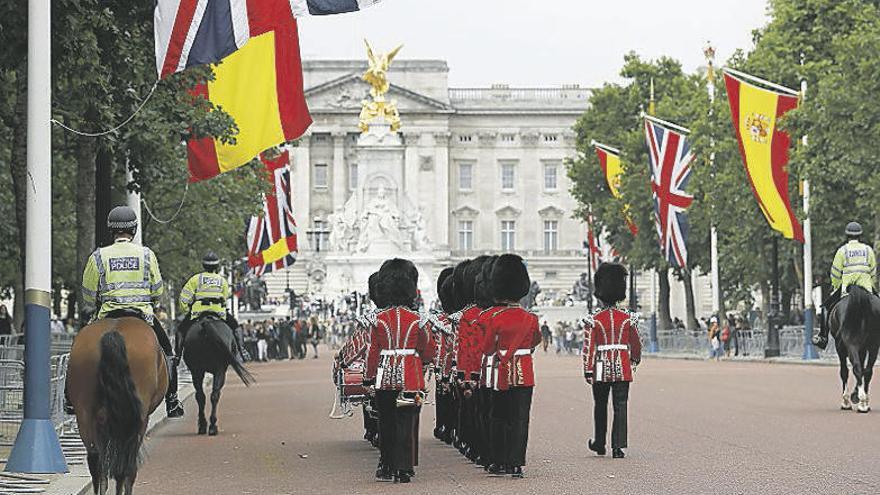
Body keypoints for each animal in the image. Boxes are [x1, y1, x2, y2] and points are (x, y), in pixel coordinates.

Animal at [828, 284, 876, 412]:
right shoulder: (862, 347)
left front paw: (847, 401)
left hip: (850, 345)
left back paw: (860, 402)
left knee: (855, 368)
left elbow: (844, 371)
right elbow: (863, 368)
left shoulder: (841, 347)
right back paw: (864, 402)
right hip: (873, 346)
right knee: (866, 370)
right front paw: (856, 395)